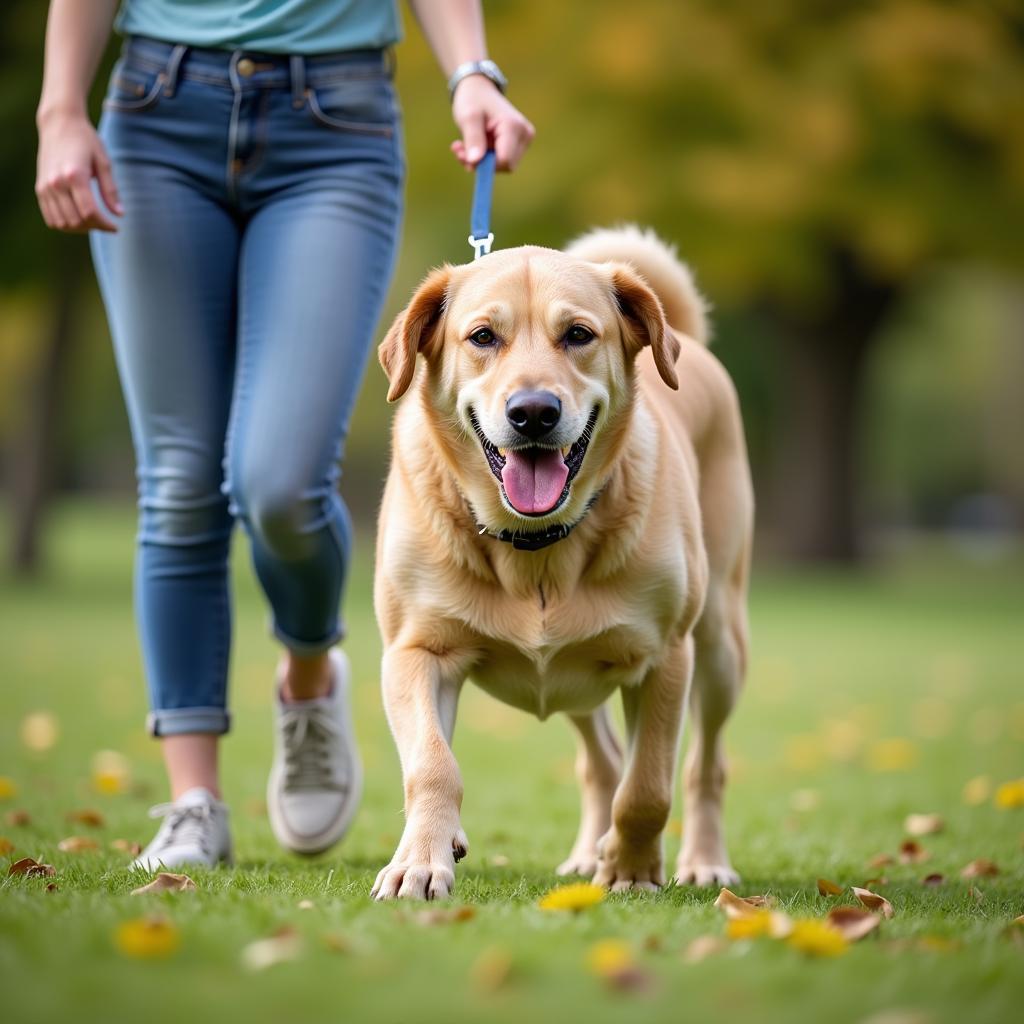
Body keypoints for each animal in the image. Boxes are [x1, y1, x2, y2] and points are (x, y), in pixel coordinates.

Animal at [370, 228, 753, 901]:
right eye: (482, 337)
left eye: (577, 334)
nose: (533, 412)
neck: (533, 546)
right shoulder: (416, 650)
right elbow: (433, 766)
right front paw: (421, 861)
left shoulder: (664, 657)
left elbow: (648, 785)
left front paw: (631, 870)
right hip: (578, 680)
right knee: (601, 760)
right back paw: (583, 855)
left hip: (718, 646)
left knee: (704, 765)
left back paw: (702, 861)